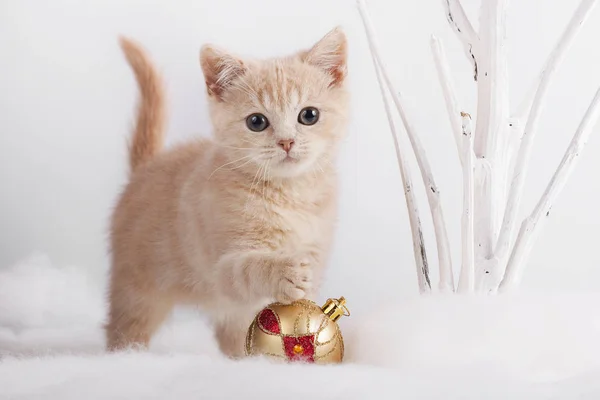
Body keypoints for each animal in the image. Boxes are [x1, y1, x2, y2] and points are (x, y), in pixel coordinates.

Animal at [106, 28, 350, 356]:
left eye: (309, 115)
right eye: (256, 121)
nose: (286, 142)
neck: (289, 195)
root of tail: (147, 166)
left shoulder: (317, 246)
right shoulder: (222, 267)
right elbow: (247, 269)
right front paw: (284, 272)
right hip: (136, 289)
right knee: (125, 326)